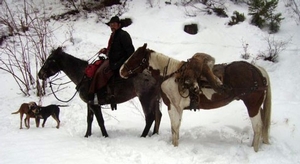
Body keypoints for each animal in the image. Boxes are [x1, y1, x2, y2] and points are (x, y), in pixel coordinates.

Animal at [119, 43, 272, 151]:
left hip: (252, 106)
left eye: (135, 56)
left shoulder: (173, 107)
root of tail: (257, 70)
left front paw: (175, 147)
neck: (170, 75)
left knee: (258, 128)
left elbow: (174, 128)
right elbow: (176, 129)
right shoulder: (178, 109)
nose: (121, 71)